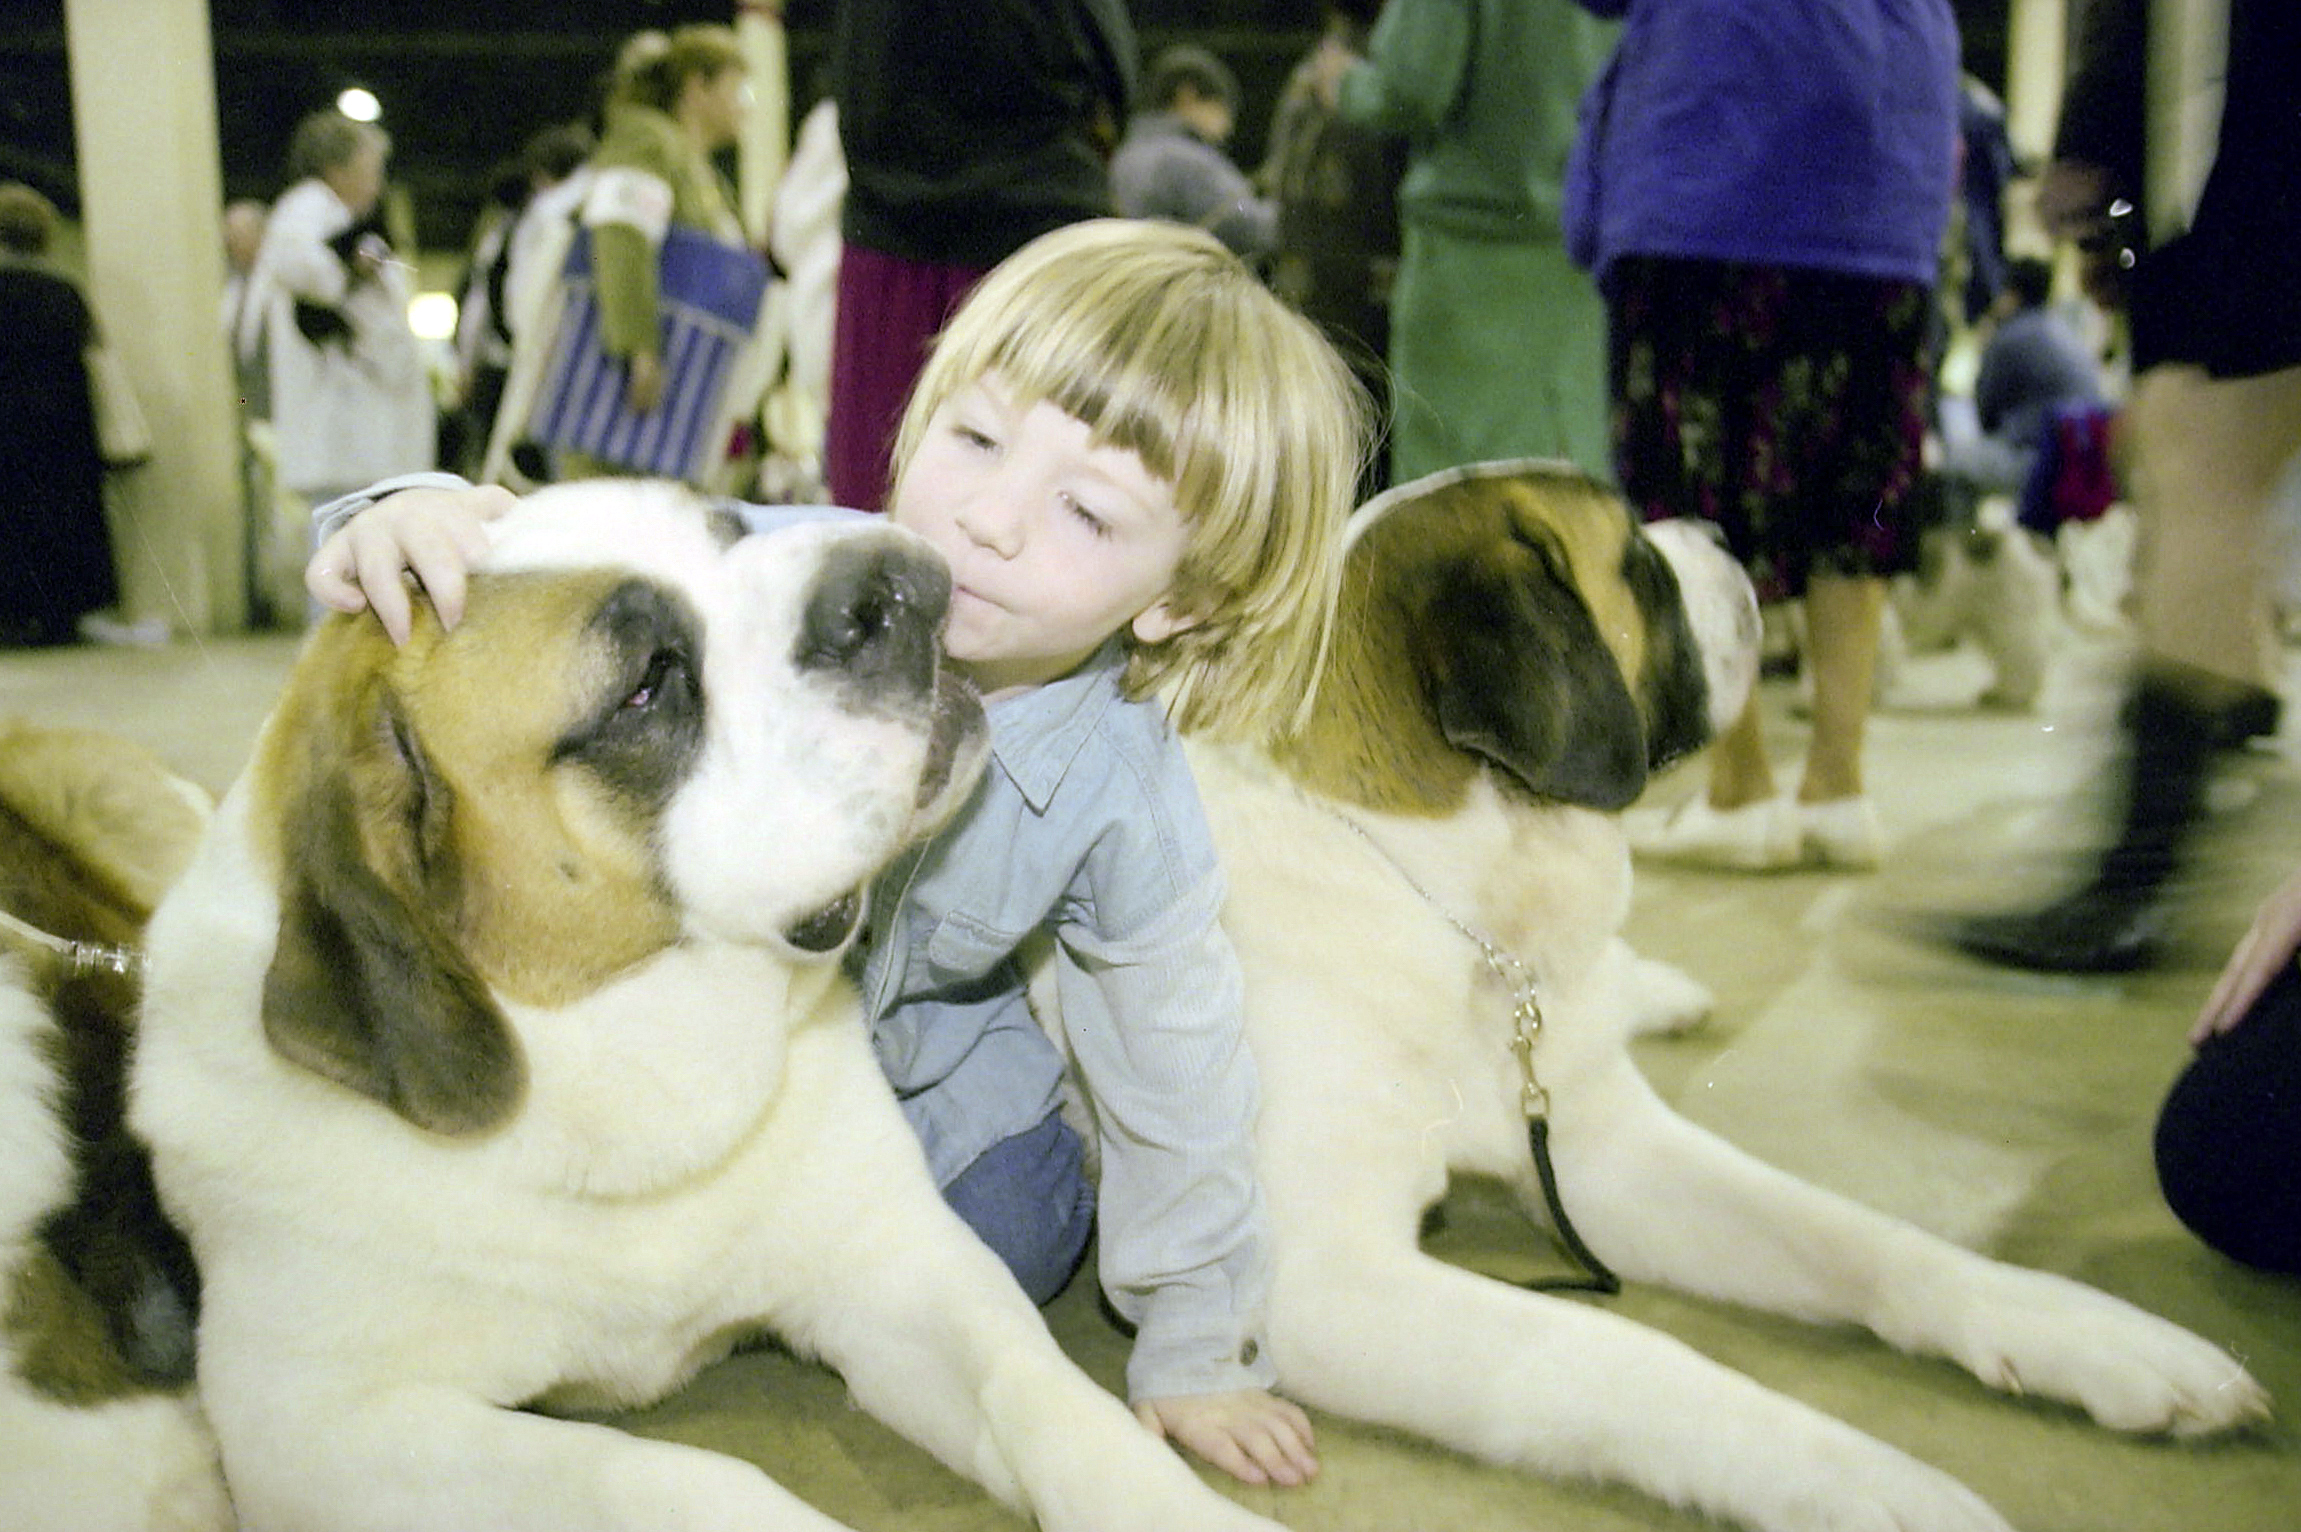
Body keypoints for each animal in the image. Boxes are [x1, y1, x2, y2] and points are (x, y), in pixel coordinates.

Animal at [1158, 461, 2267, 1532]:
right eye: (1638, 562)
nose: (1720, 529)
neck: (1453, 908)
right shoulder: (1314, 1278)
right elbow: (1616, 1353)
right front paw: (1857, 1477)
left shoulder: (1608, 1156)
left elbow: (1852, 1232)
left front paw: (2075, 1326)